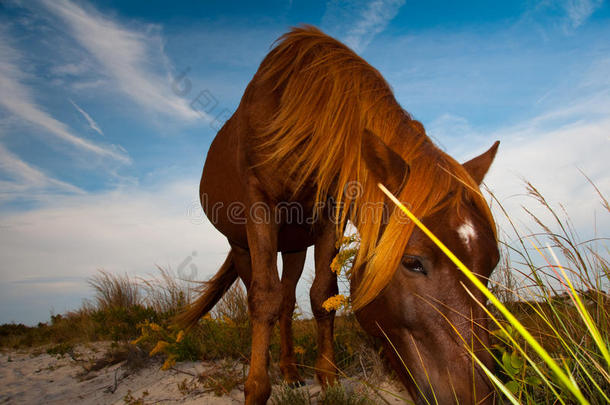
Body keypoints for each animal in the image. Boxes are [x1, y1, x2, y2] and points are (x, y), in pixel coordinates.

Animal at [179, 26, 498, 404]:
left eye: (492, 264)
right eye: (413, 262)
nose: (477, 396)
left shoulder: (330, 214)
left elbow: (322, 295)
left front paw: (327, 379)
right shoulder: (260, 206)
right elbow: (264, 298)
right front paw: (256, 389)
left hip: (294, 247)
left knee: (287, 301)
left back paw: (291, 373)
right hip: (243, 246)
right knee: (265, 296)